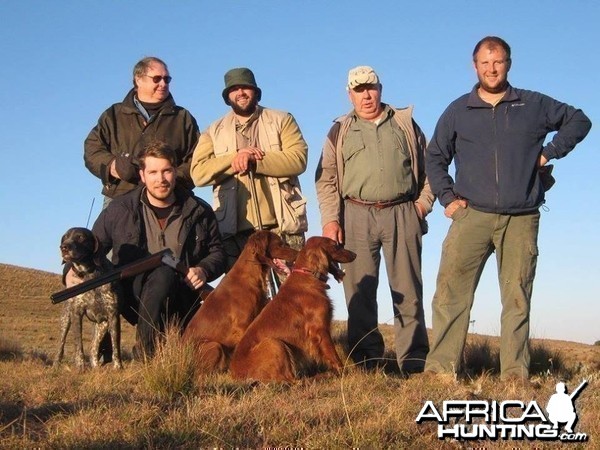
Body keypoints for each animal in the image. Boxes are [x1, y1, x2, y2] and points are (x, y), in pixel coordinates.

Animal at [230, 236, 356, 384]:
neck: (308, 276)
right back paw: (323, 376)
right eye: (335, 245)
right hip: (274, 343)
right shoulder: (319, 330)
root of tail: (236, 374)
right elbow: (333, 355)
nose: (355, 254)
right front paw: (343, 372)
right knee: (293, 381)